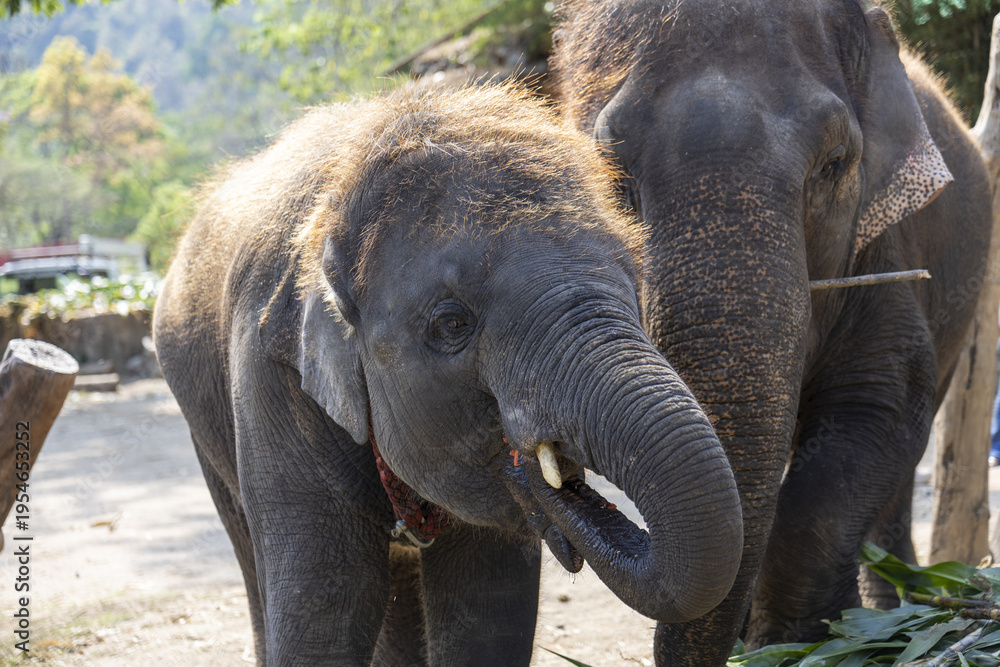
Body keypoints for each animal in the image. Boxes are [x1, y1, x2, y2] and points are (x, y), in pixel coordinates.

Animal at [551, 0, 992, 664]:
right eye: (610, 172)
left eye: (835, 164)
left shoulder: (881, 253)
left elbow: (880, 406)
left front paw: (800, 640)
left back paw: (893, 608)